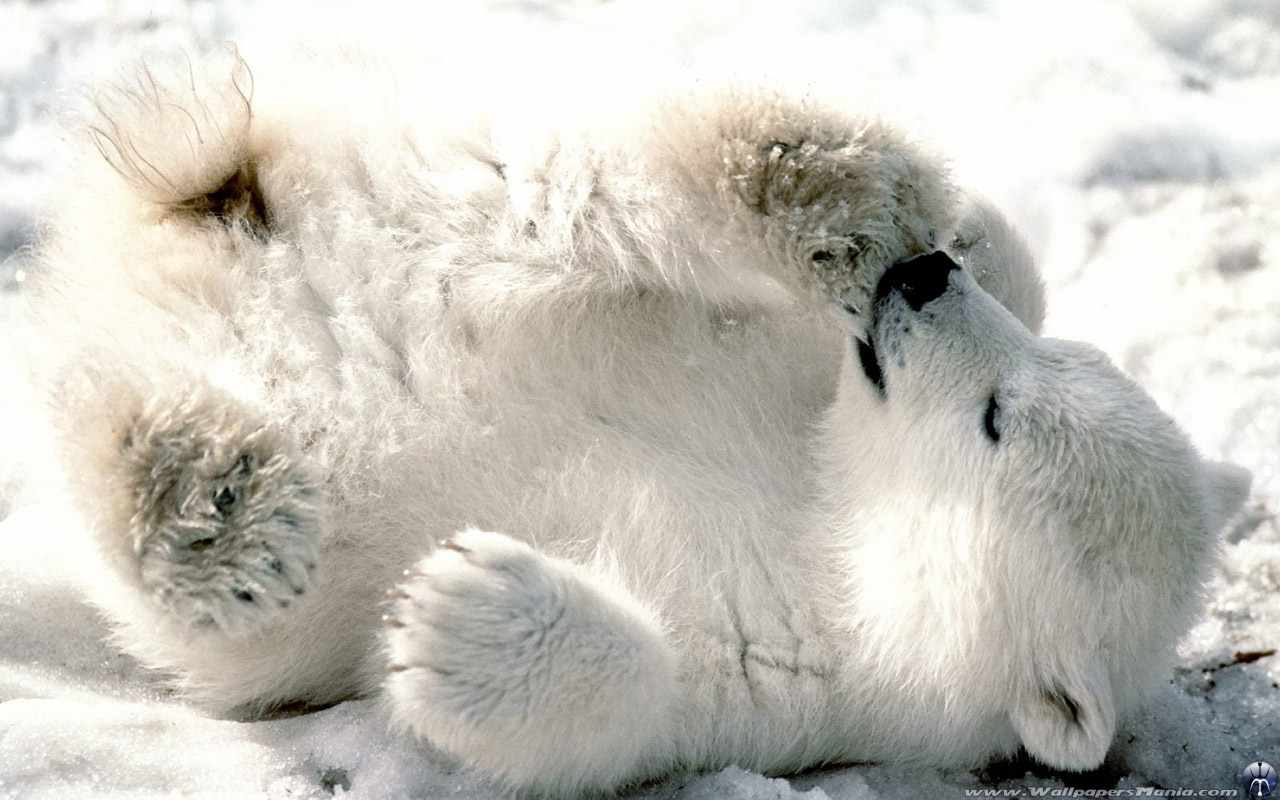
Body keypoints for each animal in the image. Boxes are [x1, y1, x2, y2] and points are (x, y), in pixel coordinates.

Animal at [27, 48, 1249, 793]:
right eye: (1055, 364)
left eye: (998, 419)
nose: (919, 281)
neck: (828, 503)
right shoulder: (790, 368)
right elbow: (1003, 267)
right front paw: (953, 230)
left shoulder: (808, 677)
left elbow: (635, 703)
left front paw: (454, 611)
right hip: (441, 203)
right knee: (582, 195)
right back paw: (822, 183)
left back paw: (210, 504)